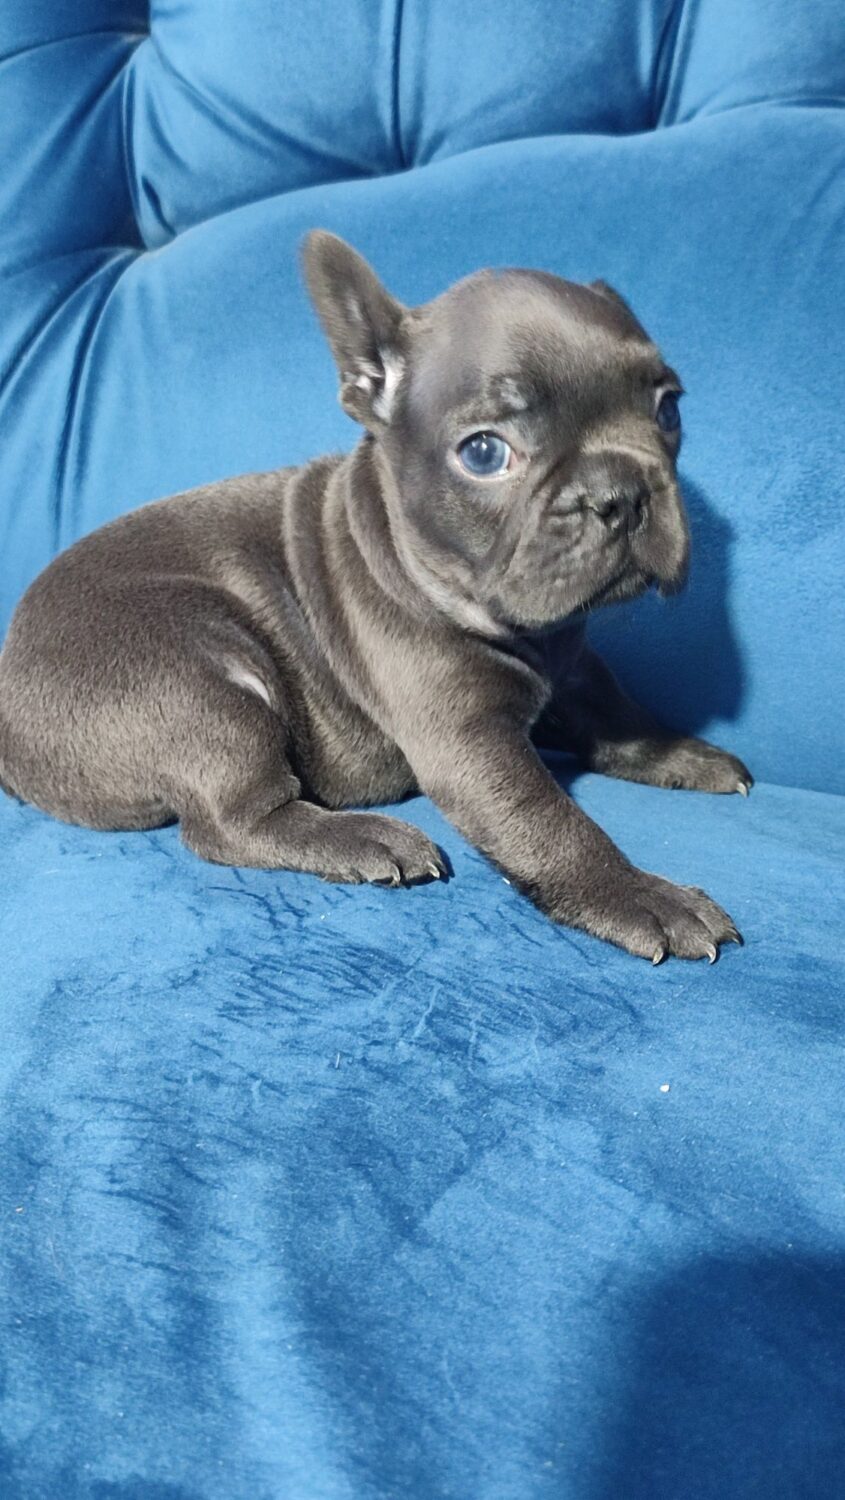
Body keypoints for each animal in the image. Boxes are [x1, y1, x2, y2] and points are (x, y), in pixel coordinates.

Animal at [0, 232, 752, 962]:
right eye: (484, 453)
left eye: (668, 408)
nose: (620, 492)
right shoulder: (468, 738)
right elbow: (550, 825)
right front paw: (639, 896)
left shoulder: (576, 666)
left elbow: (619, 715)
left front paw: (684, 755)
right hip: (197, 680)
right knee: (230, 822)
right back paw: (364, 838)